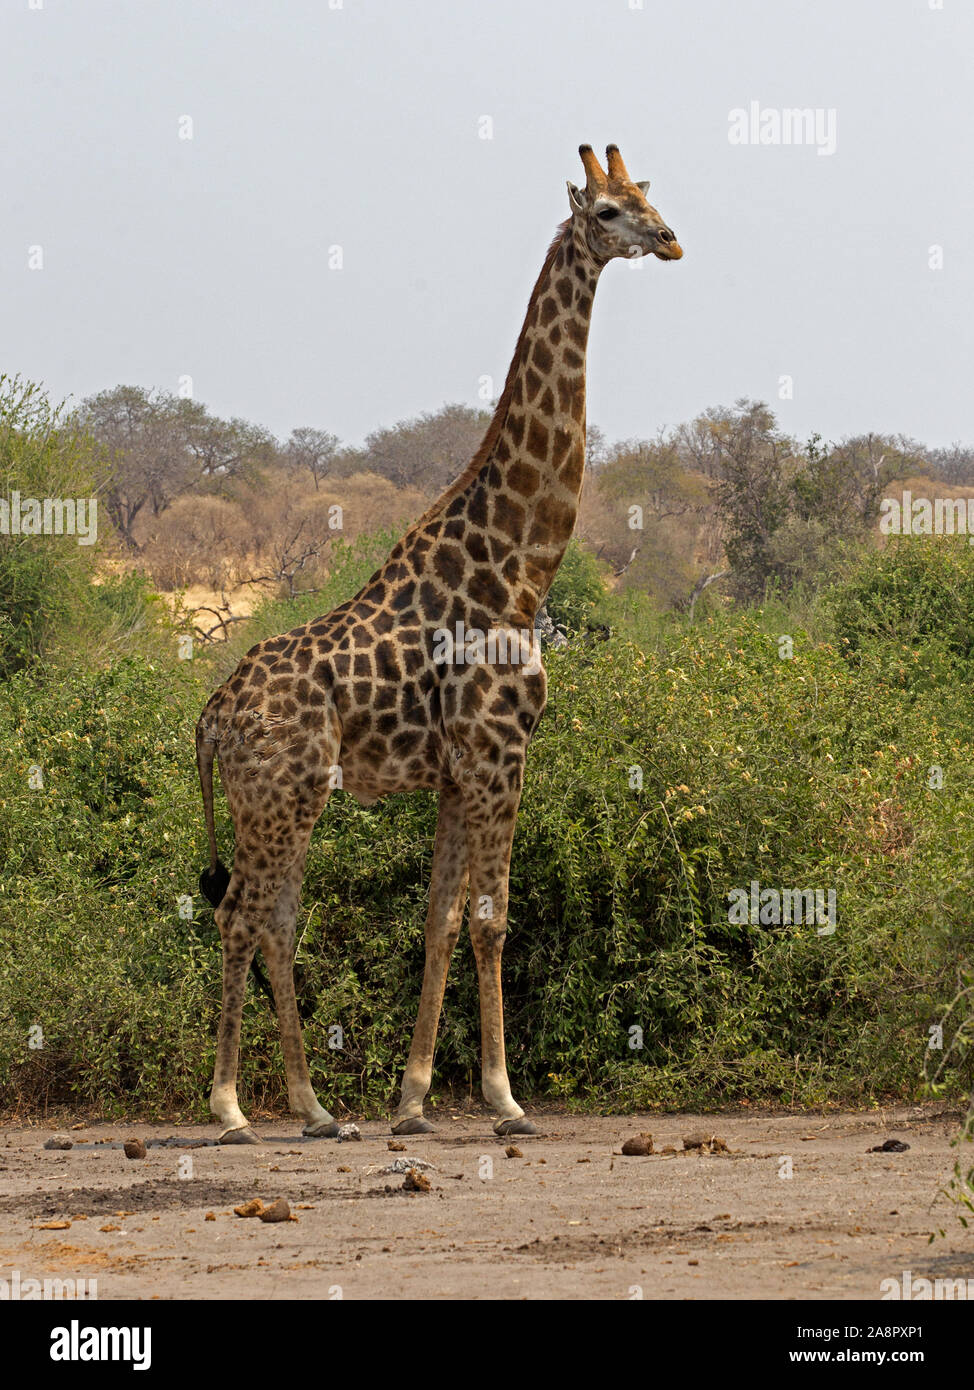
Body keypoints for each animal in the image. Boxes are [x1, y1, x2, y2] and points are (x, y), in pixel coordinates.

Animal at [195, 143, 683, 1139]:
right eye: (608, 211)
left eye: (649, 194)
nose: (670, 239)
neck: (519, 569)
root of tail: (213, 716)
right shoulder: (500, 752)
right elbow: (492, 917)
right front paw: (504, 1099)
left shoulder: (460, 770)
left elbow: (440, 919)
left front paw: (415, 1100)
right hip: (279, 796)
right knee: (243, 918)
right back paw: (232, 1106)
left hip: (289, 799)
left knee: (275, 921)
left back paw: (315, 1108)